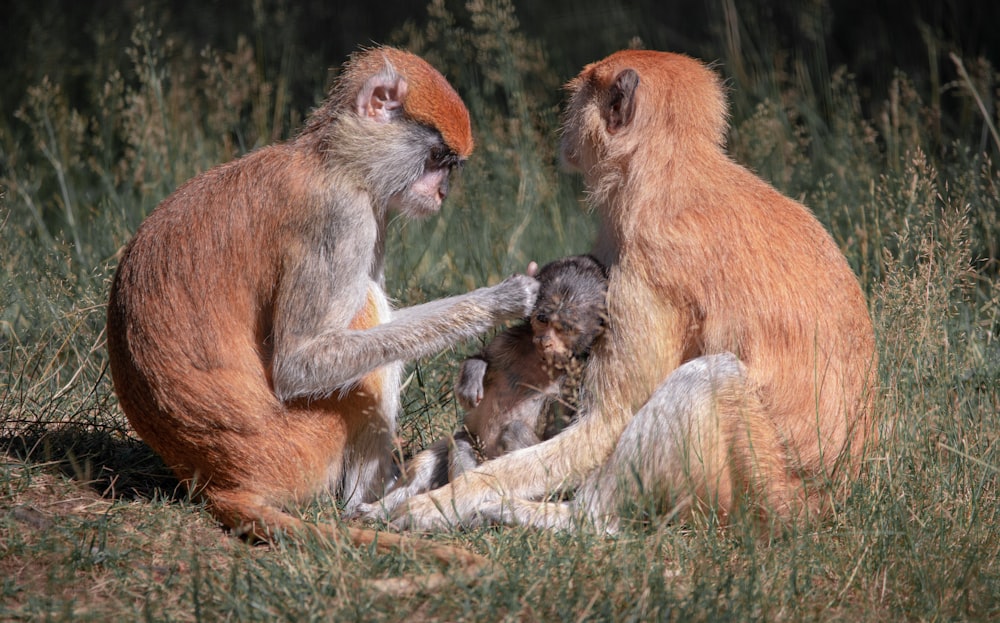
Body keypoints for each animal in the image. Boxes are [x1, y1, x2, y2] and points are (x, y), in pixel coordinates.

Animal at [106, 46, 540, 568]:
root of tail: (221, 479)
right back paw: (362, 502)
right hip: (303, 445)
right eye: (437, 159)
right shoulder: (341, 219)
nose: (440, 193)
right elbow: (300, 364)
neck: (335, 160)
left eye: (450, 166)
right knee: (367, 325)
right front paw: (501, 299)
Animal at [360, 256, 608, 516]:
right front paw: (473, 378)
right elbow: (484, 357)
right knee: (461, 442)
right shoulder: (512, 338)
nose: (546, 341)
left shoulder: (575, 375)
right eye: (543, 320)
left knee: (514, 430)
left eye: (566, 328)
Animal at [386, 51, 880, 532]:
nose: (566, 122)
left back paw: (575, 518)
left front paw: (441, 503)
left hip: (756, 489)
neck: (669, 170)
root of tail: (819, 503)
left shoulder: (646, 270)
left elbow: (609, 422)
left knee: (708, 378)